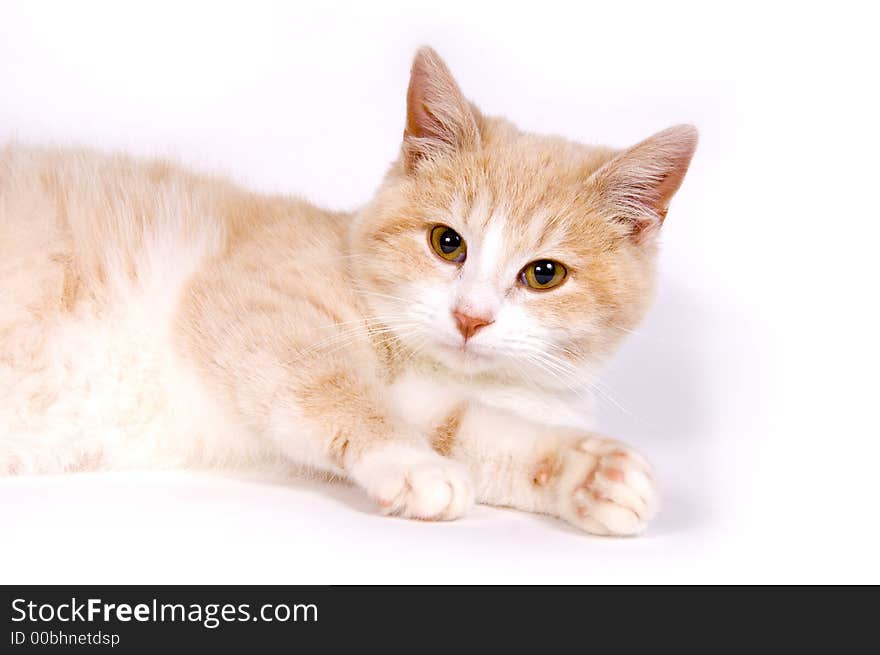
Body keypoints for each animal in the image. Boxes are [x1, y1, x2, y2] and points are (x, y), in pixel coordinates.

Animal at [3, 47, 696, 540]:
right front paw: (414, 465)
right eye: (447, 242)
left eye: (544, 274)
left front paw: (592, 474)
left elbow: (471, 431)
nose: (469, 317)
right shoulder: (257, 304)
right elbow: (334, 390)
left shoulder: (429, 399)